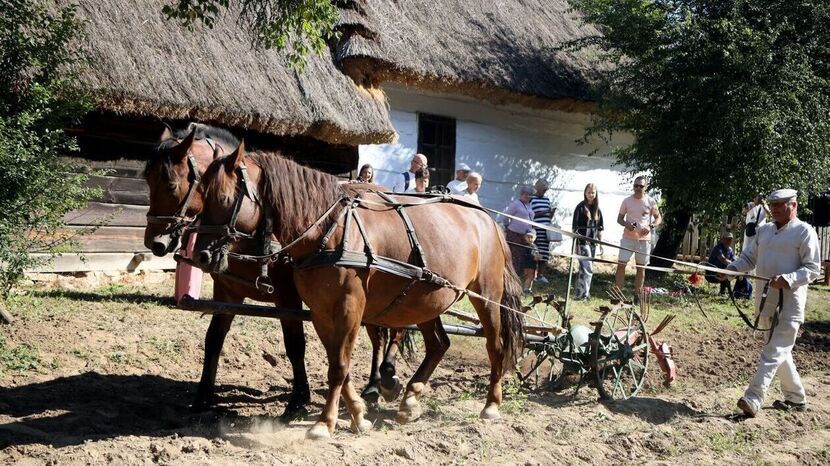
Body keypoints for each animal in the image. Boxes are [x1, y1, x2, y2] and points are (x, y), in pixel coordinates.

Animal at [146, 124, 412, 416]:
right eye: (147, 180)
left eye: (171, 185)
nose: (155, 242)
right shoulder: (227, 292)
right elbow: (214, 338)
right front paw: (203, 396)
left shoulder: (288, 296)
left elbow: (295, 345)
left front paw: (298, 399)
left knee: (390, 330)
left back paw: (383, 379)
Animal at [192, 144, 524, 438]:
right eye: (201, 196)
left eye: (222, 198)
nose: (201, 256)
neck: (329, 230)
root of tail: (487, 219)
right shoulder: (321, 311)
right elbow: (339, 363)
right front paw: (359, 415)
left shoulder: (349, 307)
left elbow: (339, 366)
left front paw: (324, 423)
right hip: (428, 299)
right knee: (439, 344)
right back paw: (411, 400)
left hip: (487, 297)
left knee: (495, 345)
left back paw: (491, 405)